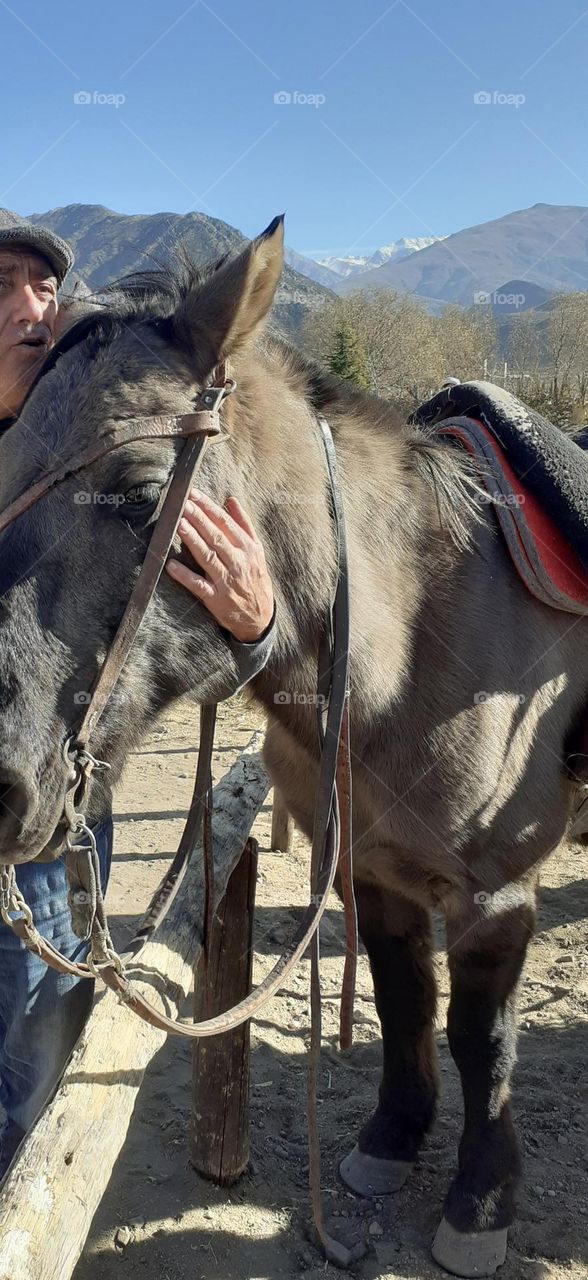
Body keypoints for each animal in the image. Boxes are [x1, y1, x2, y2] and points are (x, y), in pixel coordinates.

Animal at [0, 215, 584, 1274]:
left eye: (142, 496)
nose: (2, 782)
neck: (404, 643)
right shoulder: (373, 866)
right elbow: (405, 999)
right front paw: (392, 1139)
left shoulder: (495, 894)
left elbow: (483, 1041)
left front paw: (481, 1204)